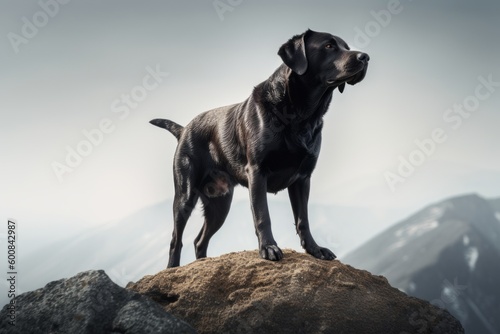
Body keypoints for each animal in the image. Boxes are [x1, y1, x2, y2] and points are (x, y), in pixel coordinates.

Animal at [150, 30, 370, 268]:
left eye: (346, 46)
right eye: (329, 46)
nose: (365, 57)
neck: (301, 114)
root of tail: (183, 129)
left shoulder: (303, 178)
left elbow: (303, 219)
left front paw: (315, 249)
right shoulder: (257, 172)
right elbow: (263, 215)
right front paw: (269, 248)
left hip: (220, 204)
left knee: (199, 240)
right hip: (185, 195)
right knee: (176, 239)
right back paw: (172, 268)